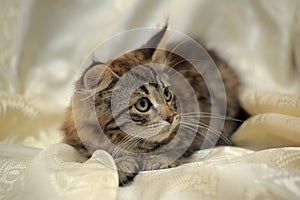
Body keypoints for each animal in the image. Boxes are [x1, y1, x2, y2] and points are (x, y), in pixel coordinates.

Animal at [61, 26, 241, 186]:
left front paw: (157, 159)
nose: (171, 117)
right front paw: (120, 166)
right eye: (142, 104)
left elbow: (175, 148)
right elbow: (100, 155)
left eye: (166, 94)